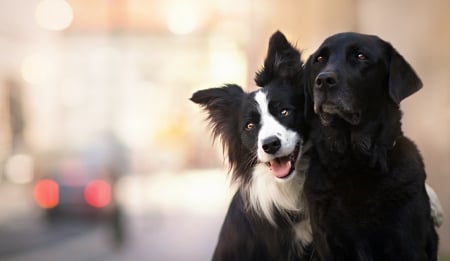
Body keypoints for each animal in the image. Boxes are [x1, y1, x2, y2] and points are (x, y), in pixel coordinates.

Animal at [304, 32, 438, 260]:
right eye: (320, 59)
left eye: (361, 56)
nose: (323, 80)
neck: (354, 164)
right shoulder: (328, 245)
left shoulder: (407, 245)